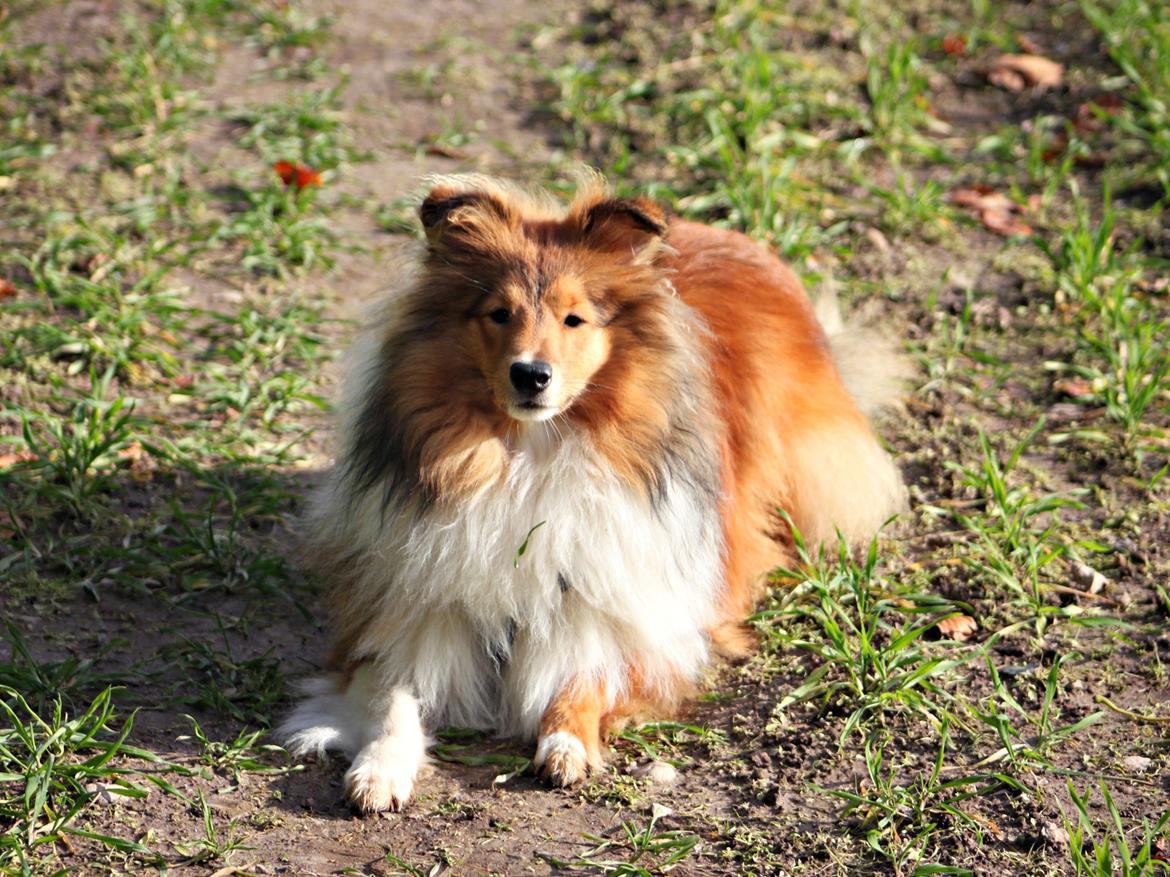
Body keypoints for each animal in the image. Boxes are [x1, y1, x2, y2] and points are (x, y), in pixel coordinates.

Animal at [280, 175, 903, 813]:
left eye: (574, 319)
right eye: (498, 313)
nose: (531, 375)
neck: (528, 459)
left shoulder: (635, 615)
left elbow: (587, 676)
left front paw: (565, 743)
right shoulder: (403, 615)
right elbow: (390, 697)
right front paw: (380, 769)